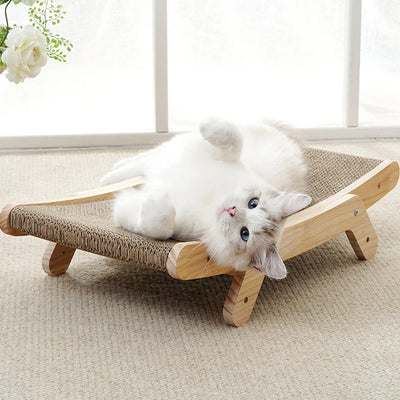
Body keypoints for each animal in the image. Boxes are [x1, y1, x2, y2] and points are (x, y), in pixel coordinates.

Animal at [99, 118, 310, 278]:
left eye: (245, 233)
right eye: (253, 203)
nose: (232, 210)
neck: (209, 203)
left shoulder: (153, 221)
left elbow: (158, 225)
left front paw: (158, 199)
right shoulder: (228, 156)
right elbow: (233, 138)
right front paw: (208, 124)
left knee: (141, 165)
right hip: (170, 149)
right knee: (140, 160)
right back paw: (108, 177)